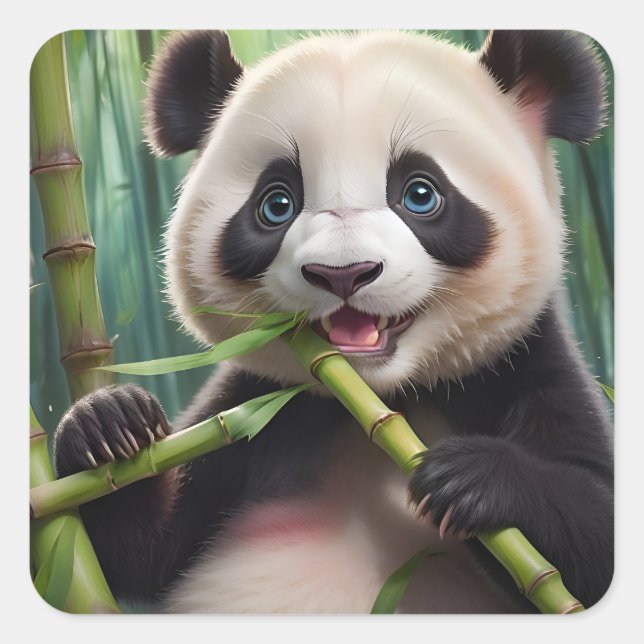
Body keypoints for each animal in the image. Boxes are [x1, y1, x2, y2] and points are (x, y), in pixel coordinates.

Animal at [53, 29, 613, 613]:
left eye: (421, 193)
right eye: (276, 203)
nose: (343, 274)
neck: (379, 400)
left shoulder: (521, 368)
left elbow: (592, 534)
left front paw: (468, 478)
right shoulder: (256, 410)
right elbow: (136, 552)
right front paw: (110, 423)